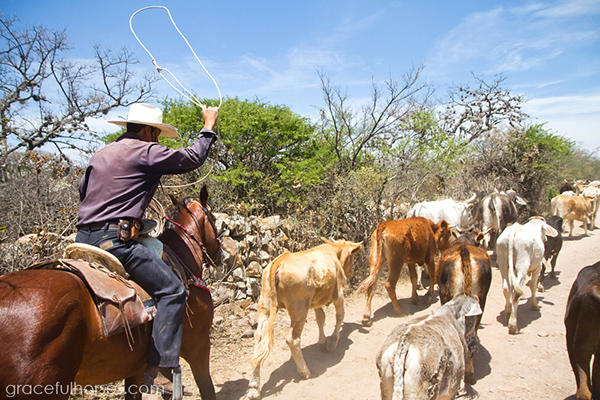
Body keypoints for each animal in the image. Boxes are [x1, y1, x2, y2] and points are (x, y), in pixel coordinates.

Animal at [0, 186, 221, 398]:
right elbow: (207, 389)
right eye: (214, 219)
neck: (182, 261)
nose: (218, 255)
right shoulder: (198, 347)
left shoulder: (135, 368)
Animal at [243, 238, 360, 400]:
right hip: (299, 311)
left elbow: (320, 318)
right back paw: (305, 371)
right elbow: (340, 315)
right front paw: (331, 342)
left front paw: (322, 341)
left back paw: (254, 387)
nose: (351, 272)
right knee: (292, 339)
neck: (333, 251)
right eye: (352, 257)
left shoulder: (316, 300)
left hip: (265, 304)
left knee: (259, 337)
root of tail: (280, 260)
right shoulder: (338, 293)